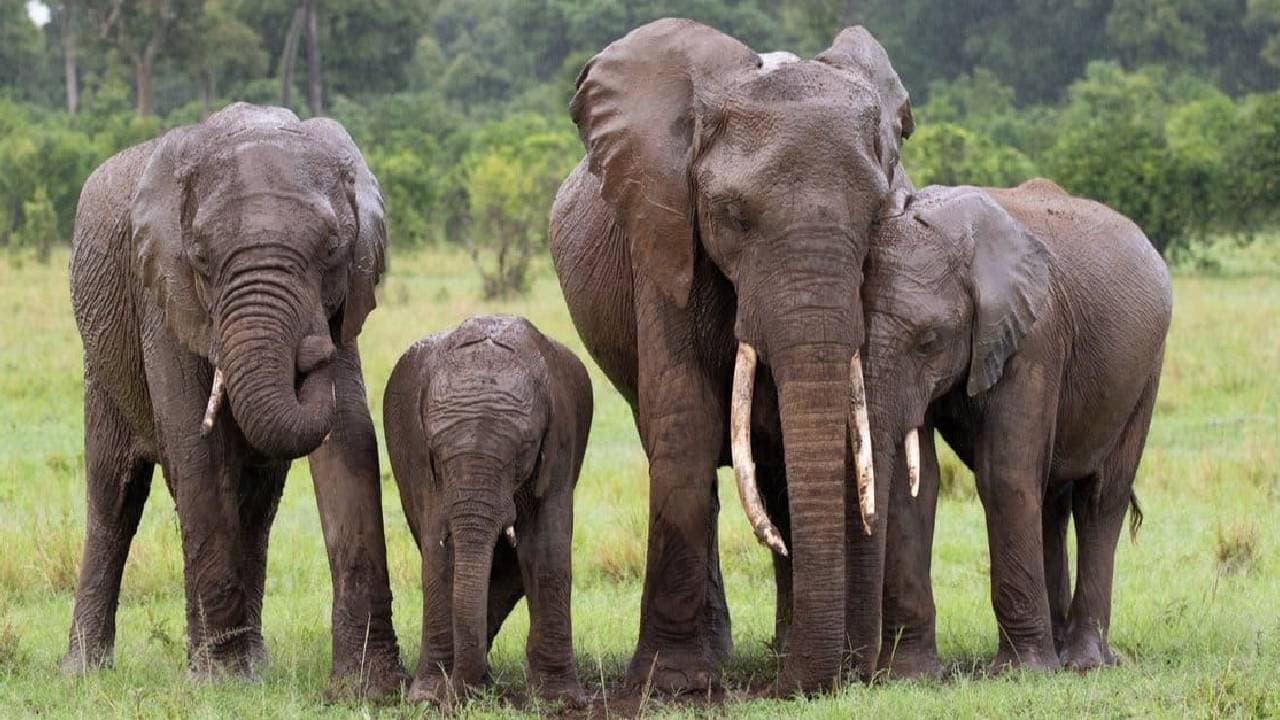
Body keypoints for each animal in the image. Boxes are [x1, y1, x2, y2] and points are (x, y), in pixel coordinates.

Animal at [62, 102, 405, 696]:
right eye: (200, 257)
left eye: (333, 249)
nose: (315, 348)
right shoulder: (162, 292)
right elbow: (196, 451)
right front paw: (218, 685)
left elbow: (350, 440)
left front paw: (371, 689)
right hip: (100, 362)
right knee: (114, 495)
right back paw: (84, 671)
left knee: (257, 504)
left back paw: (254, 663)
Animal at [383, 315, 592, 706]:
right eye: (435, 452)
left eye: (524, 449)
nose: (456, 699)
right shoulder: (422, 465)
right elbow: (437, 556)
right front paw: (428, 697)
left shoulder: (562, 438)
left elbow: (546, 548)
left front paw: (559, 699)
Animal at [548, 19, 913, 692]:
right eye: (732, 217)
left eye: (878, 217)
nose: (801, 686)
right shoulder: (663, 235)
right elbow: (685, 421)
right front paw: (674, 684)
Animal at [741, 179, 1170, 676]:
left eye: (930, 341)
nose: (860, 673)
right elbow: (915, 485)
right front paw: (912, 676)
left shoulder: (1035, 338)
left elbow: (1003, 476)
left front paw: (1021, 673)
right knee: (1050, 500)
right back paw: (1061, 651)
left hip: (1146, 370)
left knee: (1100, 498)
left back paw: (1083, 662)